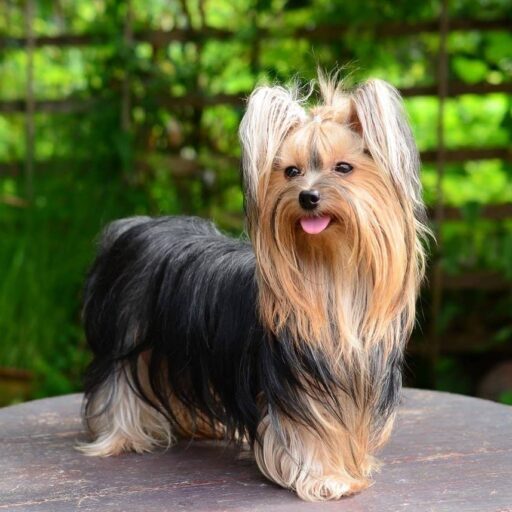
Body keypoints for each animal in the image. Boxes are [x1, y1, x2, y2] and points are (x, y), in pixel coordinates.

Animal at [78, 72, 426, 500]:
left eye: (344, 167)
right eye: (291, 171)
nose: (308, 197)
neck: (330, 273)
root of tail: (133, 226)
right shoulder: (297, 390)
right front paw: (327, 479)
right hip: (127, 335)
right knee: (117, 384)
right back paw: (122, 436)